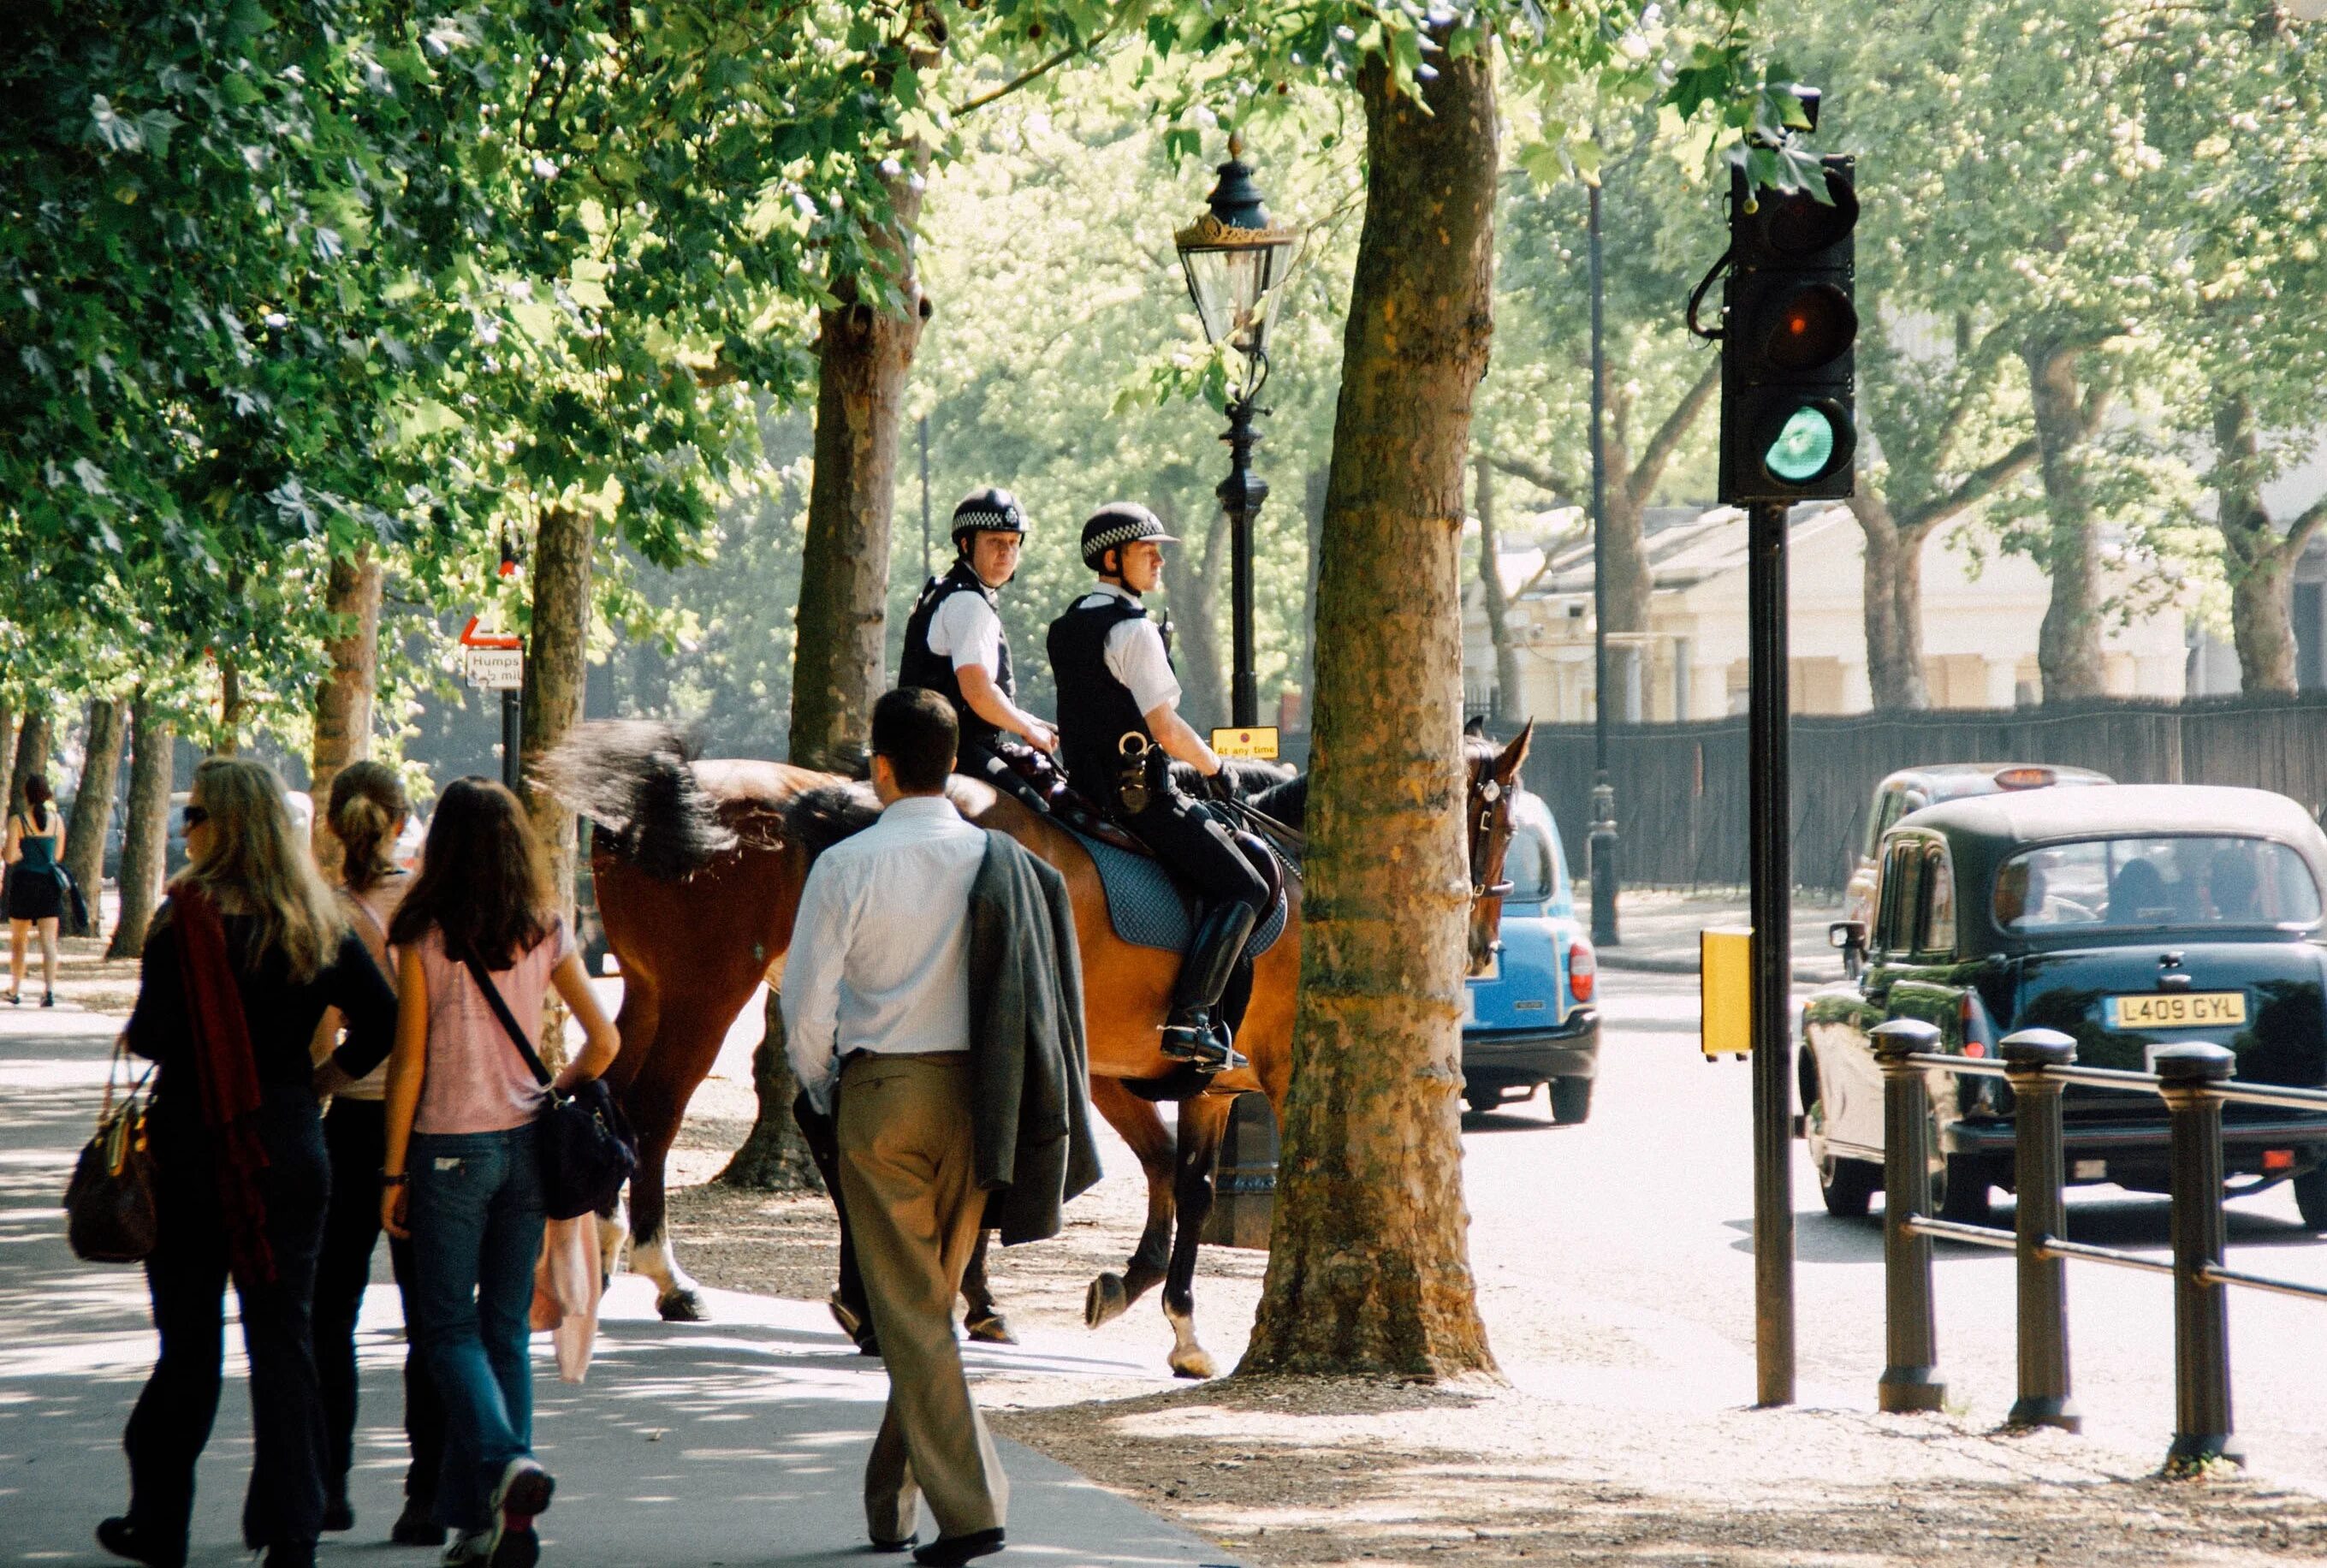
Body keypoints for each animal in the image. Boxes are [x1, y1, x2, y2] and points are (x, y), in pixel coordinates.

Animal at [542, 716, 1526, 1368]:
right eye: (1501, 821)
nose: (1480, 949)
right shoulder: (1240, 1072)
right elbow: (1176, 1180)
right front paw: (1156, 1311)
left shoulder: (1158, 1078)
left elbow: (1178, 1177)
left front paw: (1143, 1301)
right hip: (707, 992)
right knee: (657, 1108)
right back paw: (670, 1272)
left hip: (657, 990)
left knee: (632, 1098)